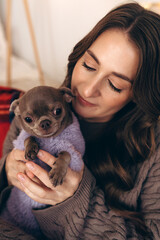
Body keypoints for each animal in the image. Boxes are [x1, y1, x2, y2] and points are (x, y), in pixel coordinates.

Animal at [0, 85, 85, 237]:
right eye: (28, 119)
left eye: (58, 111)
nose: (44, 122)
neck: (49, 139)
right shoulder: (24, 139)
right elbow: (28, 137)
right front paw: (30, 148)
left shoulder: (74, 150)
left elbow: (66, 154)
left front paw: (57, 172)